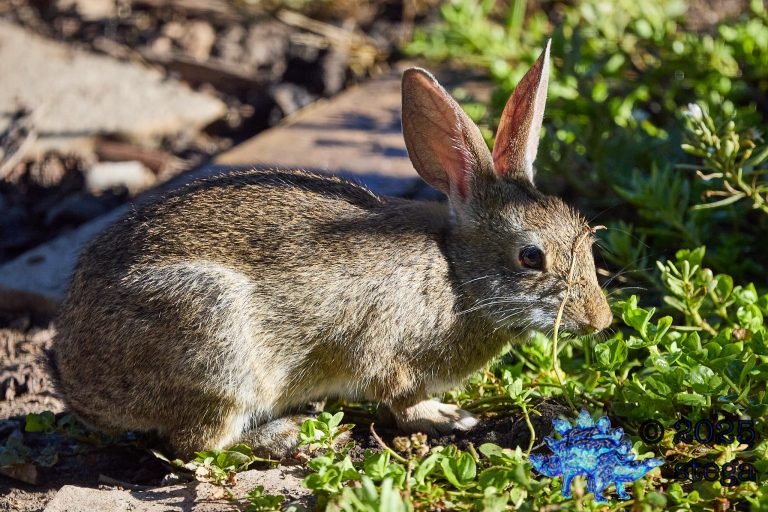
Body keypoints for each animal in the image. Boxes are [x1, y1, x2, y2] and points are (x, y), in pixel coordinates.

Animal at [49, 40, 612, 459]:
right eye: (530, 257)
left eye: (583, 233)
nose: (600, 321)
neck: (456, 274)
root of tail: (79, 382)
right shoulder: (387, 351)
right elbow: (401, 400)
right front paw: (452, 417)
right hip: (214, 344)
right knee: (198, 444)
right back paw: (289, 433)